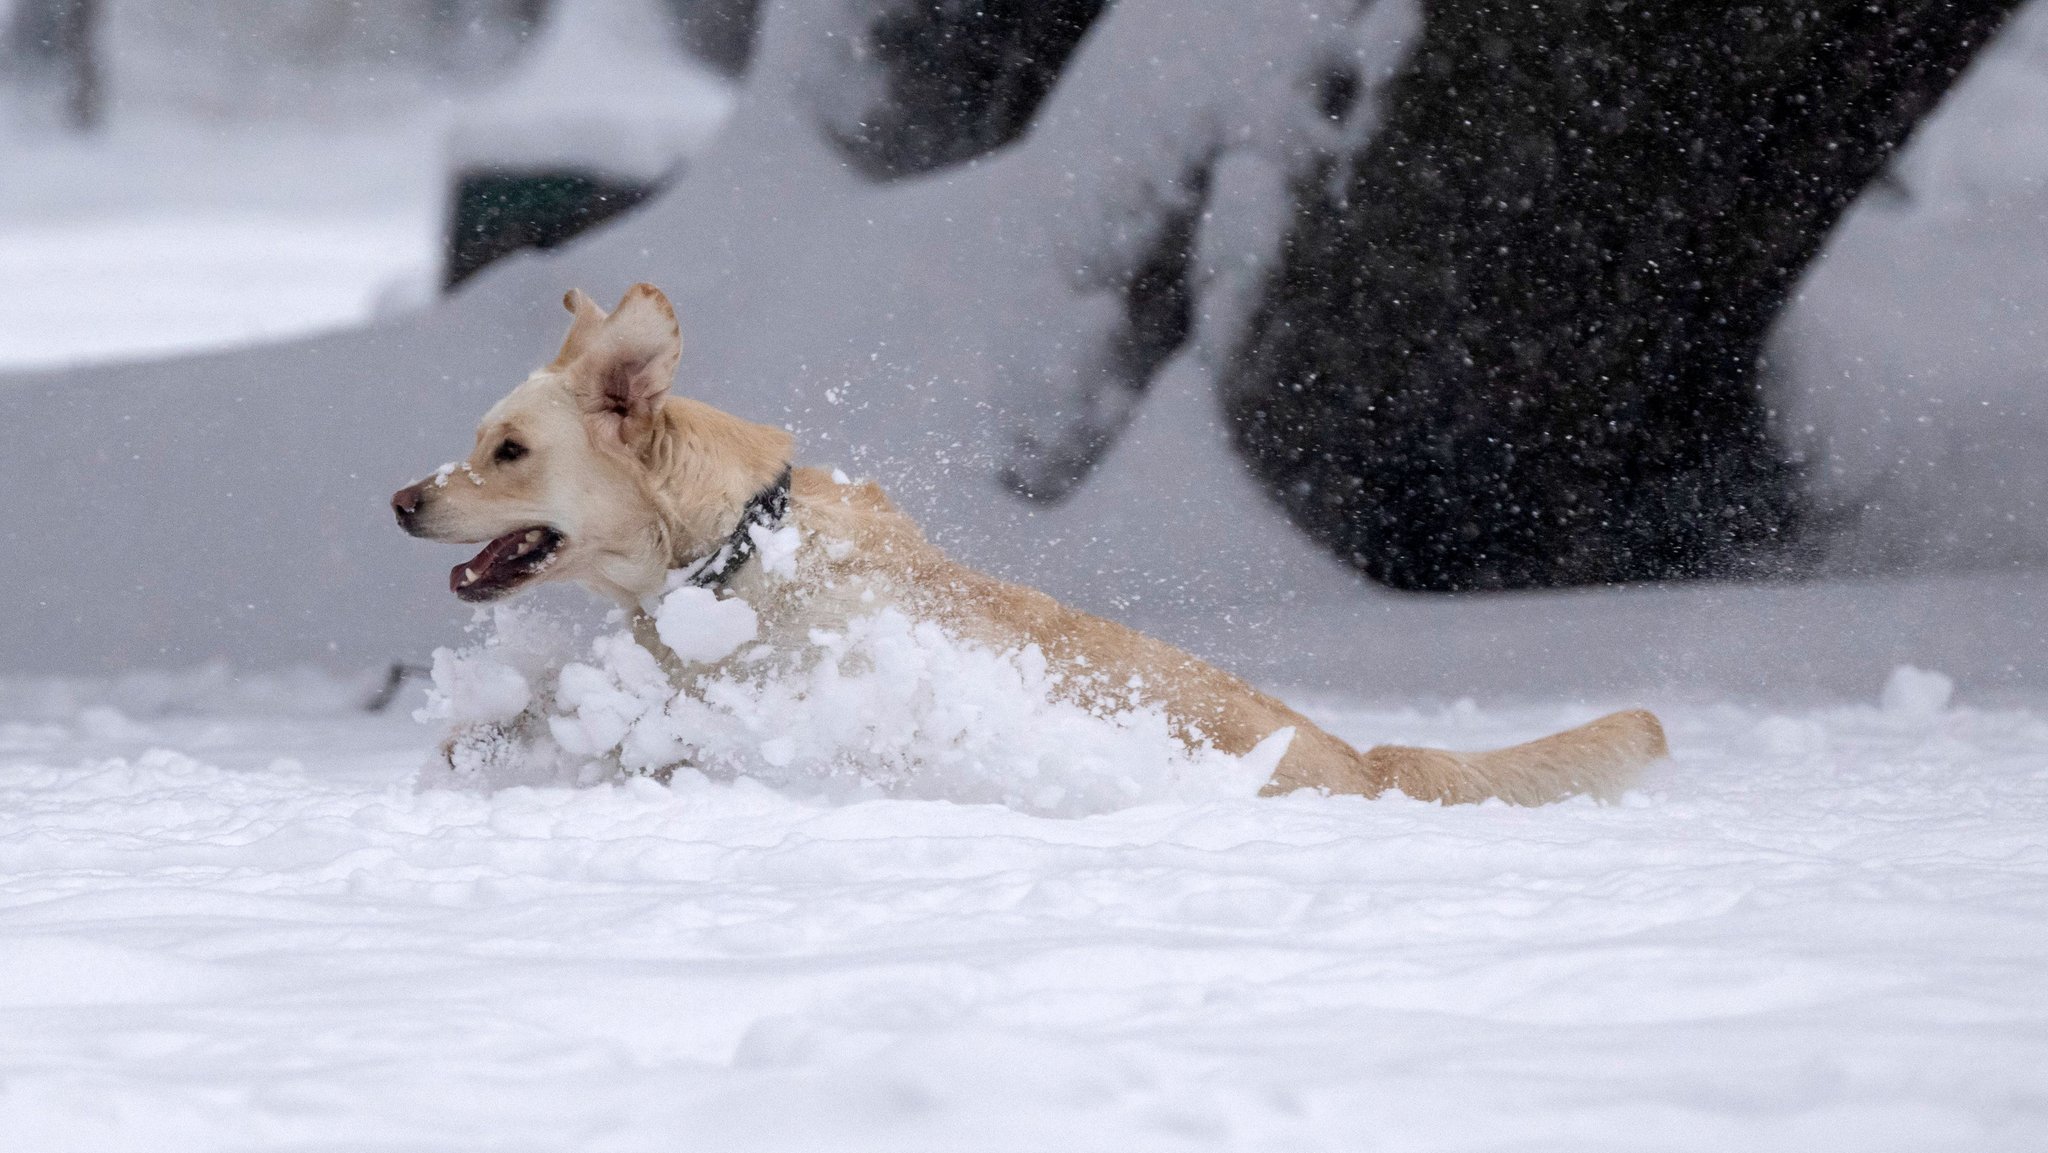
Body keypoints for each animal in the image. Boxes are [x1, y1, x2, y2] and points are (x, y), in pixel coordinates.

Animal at [395, 284, 1662, 802]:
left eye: (506, 449)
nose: (402, 500)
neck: (732, 554)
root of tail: (1365, 760)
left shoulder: (790, 692)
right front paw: (480, 736)